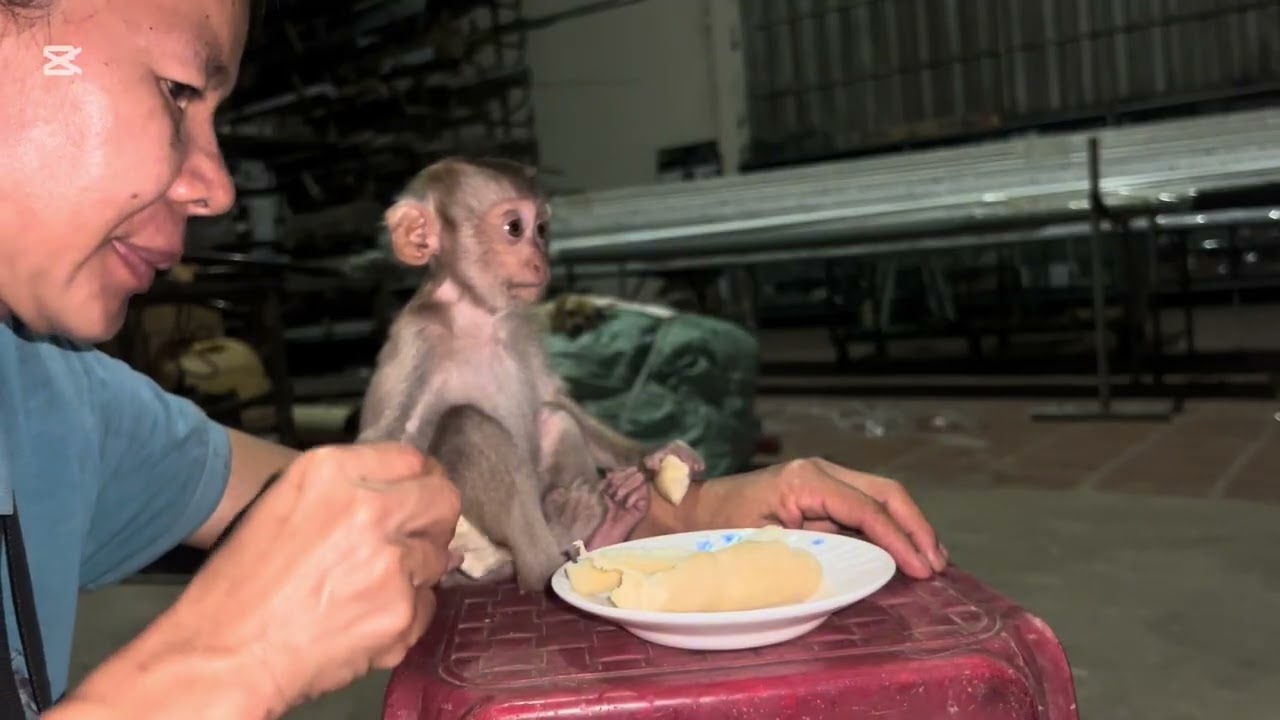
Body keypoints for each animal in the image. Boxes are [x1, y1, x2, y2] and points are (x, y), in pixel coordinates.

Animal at [357, 157, 704, 593]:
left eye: (541, 229)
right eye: (514, 228)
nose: (540, 261)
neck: (478, 314)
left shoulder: (521, 324)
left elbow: (552, 398)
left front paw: (657, 455)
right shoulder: (415, 336)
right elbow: (384, 440)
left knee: (554, 419)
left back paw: (604, 528)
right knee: (468, 423)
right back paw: (547, 559)